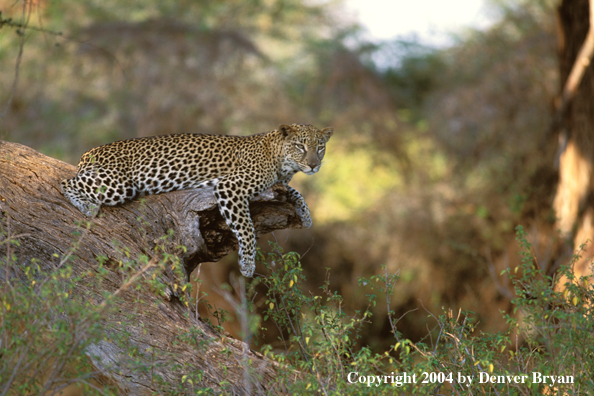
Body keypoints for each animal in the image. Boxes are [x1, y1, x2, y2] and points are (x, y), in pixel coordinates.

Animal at [60, 123, 332, 276]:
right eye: (300, 146)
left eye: (320, 147)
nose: (314, 165)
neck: (281, 163)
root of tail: (89, 152)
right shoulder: (231, 186)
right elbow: (246, 228)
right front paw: (247, 265)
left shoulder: (278, 185)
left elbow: (295, 192)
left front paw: (306, 215)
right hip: (119, 184)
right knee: (66, 182)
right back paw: (86, 205)